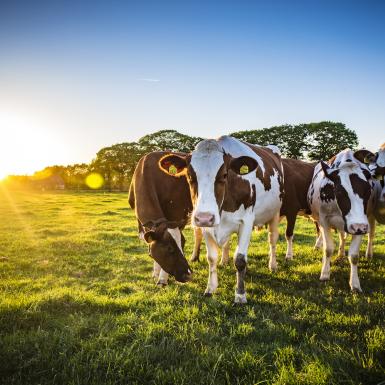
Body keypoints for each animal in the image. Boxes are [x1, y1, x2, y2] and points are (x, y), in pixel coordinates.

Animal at [129, 152, 200, 284]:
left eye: (183, 245)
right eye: (169, 248)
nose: (188, 275)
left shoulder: (176, 214)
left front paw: (162, 279)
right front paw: (155, 273)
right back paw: (195, 257)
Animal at [158, 136, 284, 304]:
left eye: (224, 175)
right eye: (189, 176)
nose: (204, 217)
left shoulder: (247, 221)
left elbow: (240, 259)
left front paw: (240, 295)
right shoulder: (207, 226)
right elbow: (211, 258)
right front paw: (210, 288)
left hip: (275, 212)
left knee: (272, 239)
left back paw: (273, 264)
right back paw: (224, 261)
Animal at [306, 149, 372, 292]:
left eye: (368, 191)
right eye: (339, 191)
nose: (358, 227)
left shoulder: (361, 224)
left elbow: (354, 256)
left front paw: (355, 283)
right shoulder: (324, 221)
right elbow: (328, 249)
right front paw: (325, 273)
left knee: (342, 237)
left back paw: (341, 254)